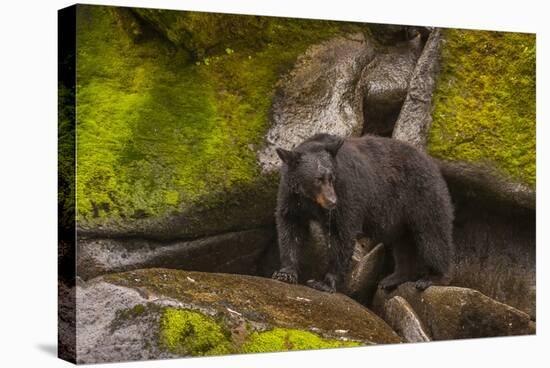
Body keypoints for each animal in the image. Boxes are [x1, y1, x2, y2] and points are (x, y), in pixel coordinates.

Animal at [272, 134, 458, 292]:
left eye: (331, 177)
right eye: (318, 179)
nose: (332, 201)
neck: (310, 199)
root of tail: (432, 163)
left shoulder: (346, 192)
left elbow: (342, 235)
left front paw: (324, 283)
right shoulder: (291, 198)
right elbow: (290, 228)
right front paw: (285, 272)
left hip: (422, 197)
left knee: (433, 235)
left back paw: (433, 277)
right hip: (402, 219)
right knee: (403, 244)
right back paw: (393, 278)